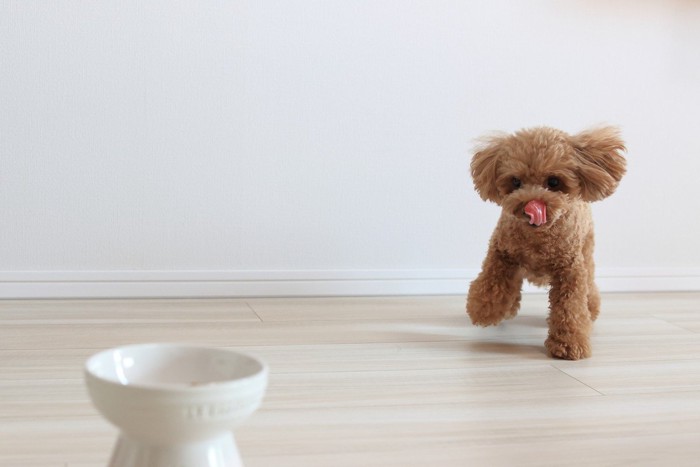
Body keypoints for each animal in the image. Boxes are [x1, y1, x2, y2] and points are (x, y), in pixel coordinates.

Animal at [468, 126, 628, 360]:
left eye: (553, 182)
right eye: (516, 182)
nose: (530, 206)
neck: (538, 238)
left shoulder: (570, 271)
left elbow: (570, 308)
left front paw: (569, 344)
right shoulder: (502, 252)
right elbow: (492, 282)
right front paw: (484, 311)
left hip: (587, 254)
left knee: (589, 288)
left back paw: (591, 310)